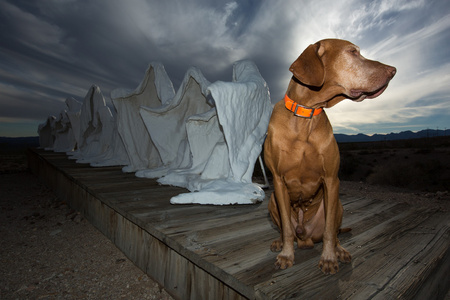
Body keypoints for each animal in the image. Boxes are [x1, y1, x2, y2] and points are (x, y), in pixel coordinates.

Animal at [266, 39, 396, 274]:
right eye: (353, 52)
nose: (393, 71)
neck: (305, 116)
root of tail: (305, 238)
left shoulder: (331, 180)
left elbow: (329, 231)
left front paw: (328, 258)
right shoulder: (278, 181)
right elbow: (287, 229)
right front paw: (286, 255)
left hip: (338, 205)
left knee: (334, 233)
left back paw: (340, 250)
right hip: (272, 200)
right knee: (286, 228)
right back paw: (279, 242)